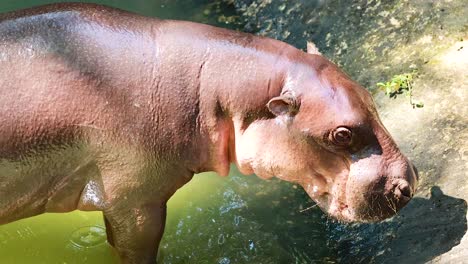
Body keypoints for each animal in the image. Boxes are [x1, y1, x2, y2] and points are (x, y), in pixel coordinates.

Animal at [0, 2, 416, 264]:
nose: (407, 183)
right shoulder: (135, 200)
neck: (214, 86)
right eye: (341, 135)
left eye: (368, 95)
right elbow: (136, 251)